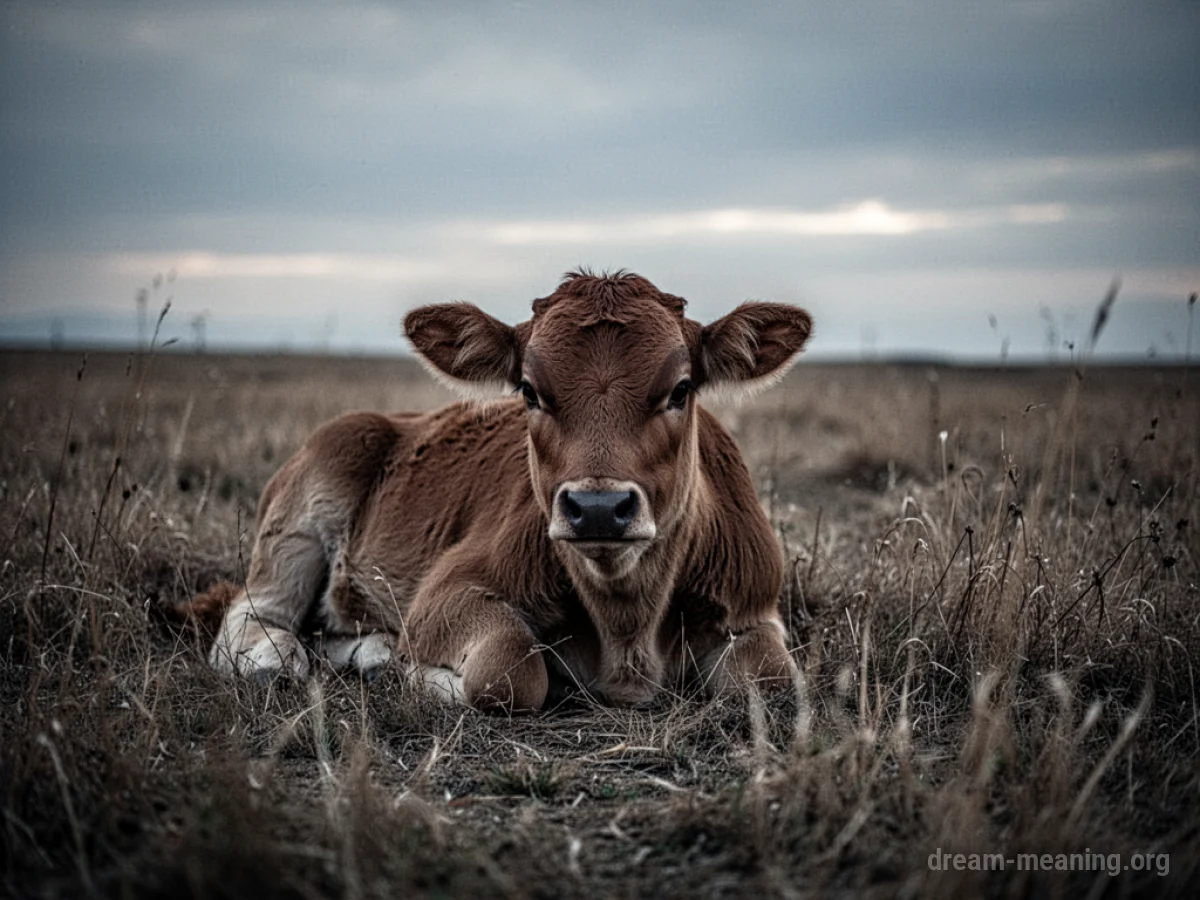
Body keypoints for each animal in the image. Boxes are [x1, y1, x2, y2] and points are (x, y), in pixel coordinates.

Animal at [186, 271, 813, 712]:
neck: (626, 628)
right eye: (530, 391)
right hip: (302, 513)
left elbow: (772, 680)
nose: (598, 509)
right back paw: (282, 660)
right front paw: (414, 673)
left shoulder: (753, 605)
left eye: (681, 389)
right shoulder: (446, 594)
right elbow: (509, 673)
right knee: (255, 613)